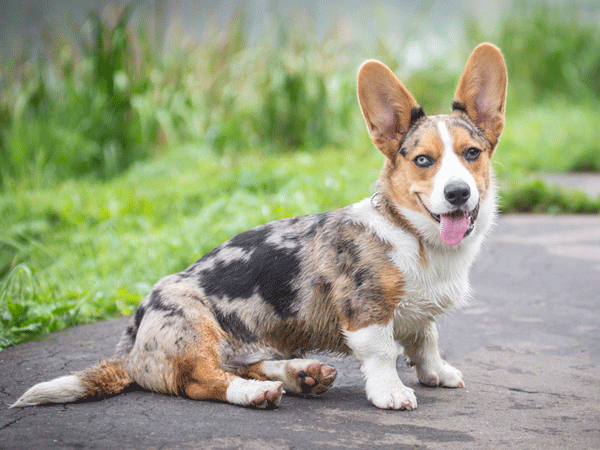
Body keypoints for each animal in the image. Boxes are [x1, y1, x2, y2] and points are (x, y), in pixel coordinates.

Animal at [10, 43, 506, 412]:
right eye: (423, 160)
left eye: (472, 153)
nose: (458, 193)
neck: (416, 237)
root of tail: (131, 349)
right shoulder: (366, 312)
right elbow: (384, 352)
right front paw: (392, 393)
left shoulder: (419, 315)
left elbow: (425, 340)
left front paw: (437, 374)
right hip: (194, 327)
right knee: (202, 381)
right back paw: (258, 392)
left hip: (247, 344)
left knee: (241, 364)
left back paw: (300, 374)